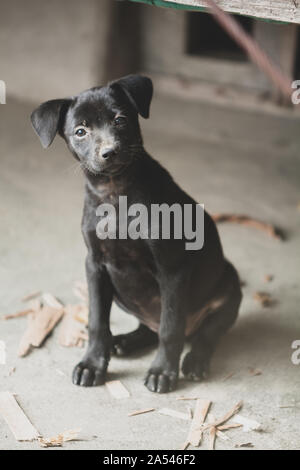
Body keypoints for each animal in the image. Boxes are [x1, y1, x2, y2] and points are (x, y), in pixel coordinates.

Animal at [31, 75, 241, 392]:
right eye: (80, 131)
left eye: (120, 119)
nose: (109, 152)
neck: (114, 191)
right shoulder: (95, 265)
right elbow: (97, 321)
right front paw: (92, 363)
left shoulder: (172, 269)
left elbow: (170, 326)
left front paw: (162, 371)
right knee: (150, 328)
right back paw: (125, 342)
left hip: (229, 288)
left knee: (204, 332)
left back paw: (194, 360)